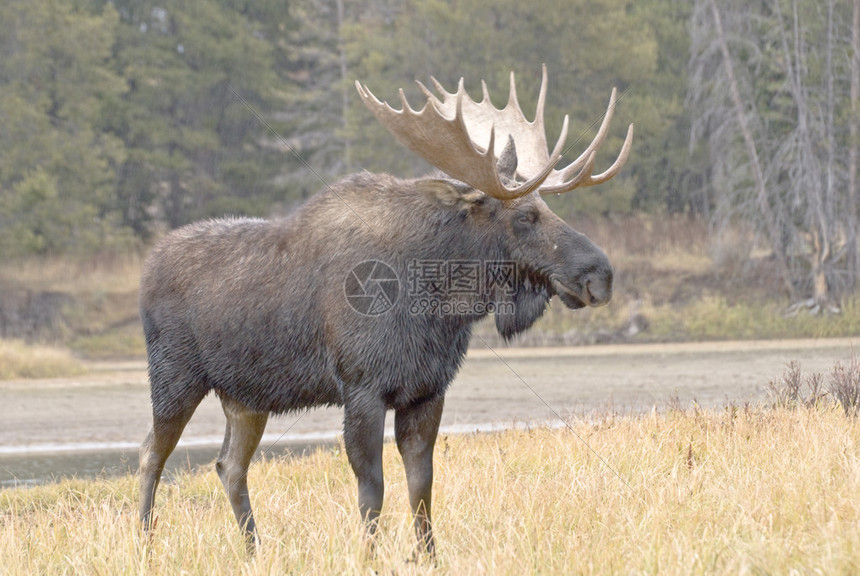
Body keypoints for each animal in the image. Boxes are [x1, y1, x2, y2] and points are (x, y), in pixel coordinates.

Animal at [136, 65, 632, 556]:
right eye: (524, 216)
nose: (600, 275)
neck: (435, 303)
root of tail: (146, 269)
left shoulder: (427, 390)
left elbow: (422, 487)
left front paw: (427, 555)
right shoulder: (362, 388)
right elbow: (372, 490)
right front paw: (369, 557)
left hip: (245, 396)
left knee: (229, 465)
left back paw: (255, 550)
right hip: (175, 376)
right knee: (151, 454)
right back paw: (145, 543)